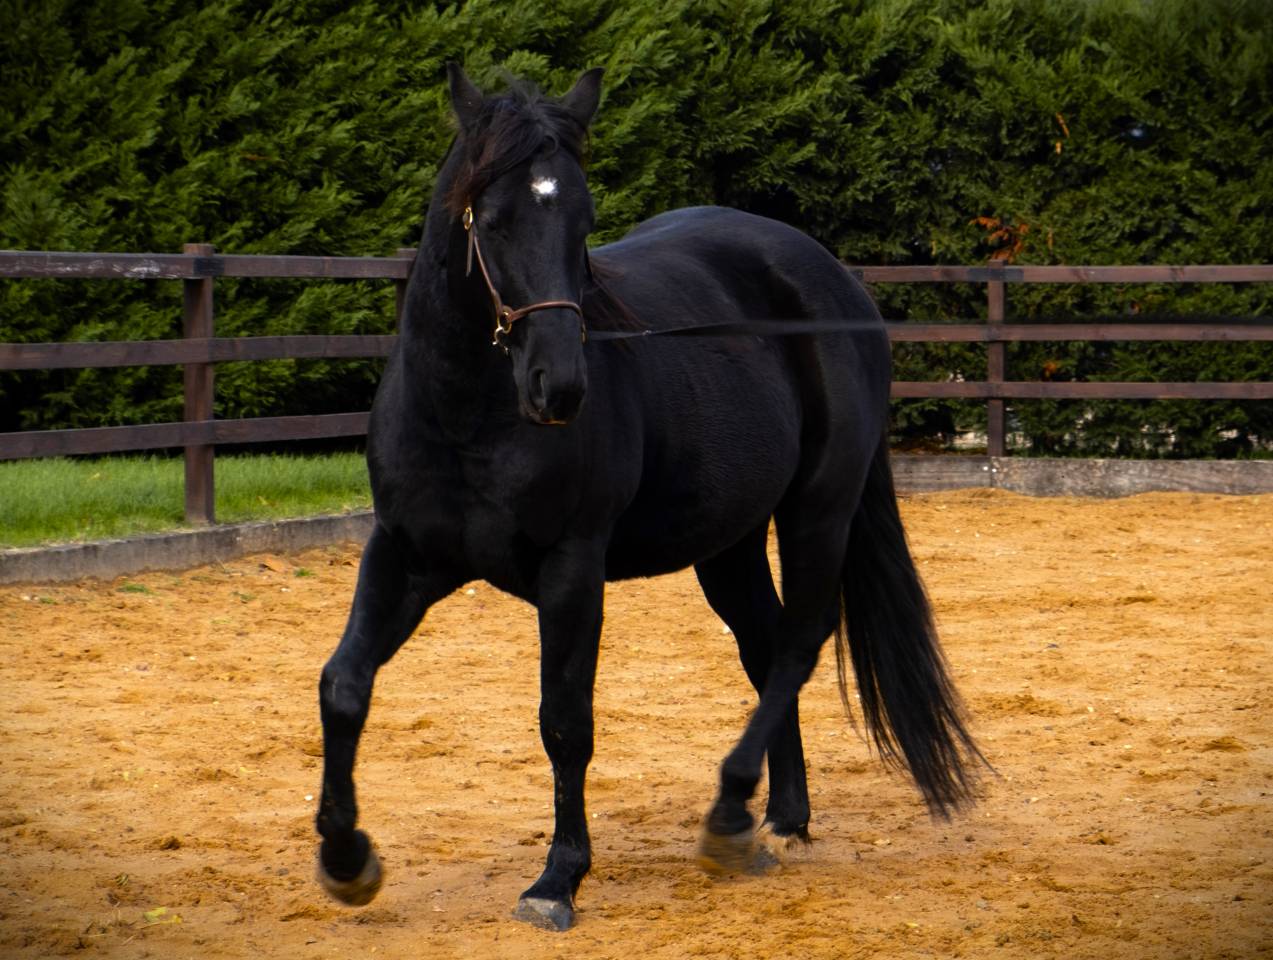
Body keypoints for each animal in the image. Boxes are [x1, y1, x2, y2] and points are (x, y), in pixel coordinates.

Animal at [314, 64, 984, 932]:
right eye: (491, 219)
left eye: (583, 218)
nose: (560, 386)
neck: (467, 414)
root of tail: (835, 281)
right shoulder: (404, 554)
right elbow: (343, 685)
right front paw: (345, 859)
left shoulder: (572, 570)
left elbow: (564, 721)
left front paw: (556, 879)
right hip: (728, 544)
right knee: (765, 647)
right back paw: (779, 818)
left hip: (818, 510)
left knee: (798, 643)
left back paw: (729, 815)